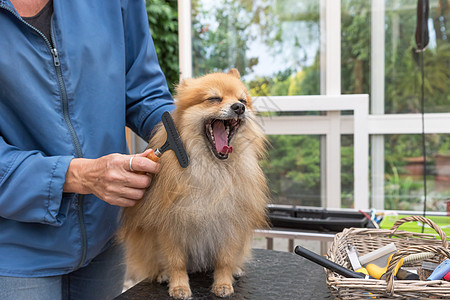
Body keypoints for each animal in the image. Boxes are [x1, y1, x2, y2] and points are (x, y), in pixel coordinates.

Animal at [118, 69, 268, 298]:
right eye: (214, 99)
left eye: (243, 100)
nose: (239, 108)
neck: (211, 168)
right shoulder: (170, 226)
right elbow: (176, 261)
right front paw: (179, 286)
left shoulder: (230, 222)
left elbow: (225, 259)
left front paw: (223, 283)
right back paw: (162, 274)